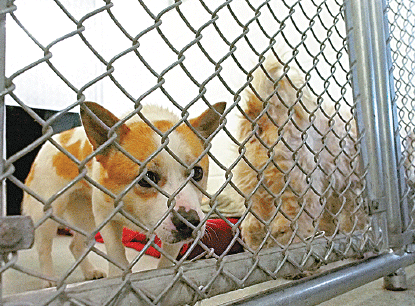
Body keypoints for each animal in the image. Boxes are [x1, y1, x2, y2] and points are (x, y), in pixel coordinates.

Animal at [22, 101, 226, 286]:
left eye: (197, 173)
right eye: (147, 177)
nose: (189, 223)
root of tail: (55, 139)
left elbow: (168, 260)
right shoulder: (106, 216)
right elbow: (116, 252)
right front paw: (119, 279)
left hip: (85, 216)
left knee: (76, 245)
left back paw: (89, 271)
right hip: (48, 214)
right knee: (44, 249)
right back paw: (49, 280)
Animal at [234, 55, 368, 251]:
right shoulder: (351, 190)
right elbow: (353, 217)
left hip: (254, 189)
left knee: (253, 226)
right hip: (300, 187)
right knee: (289, 224)